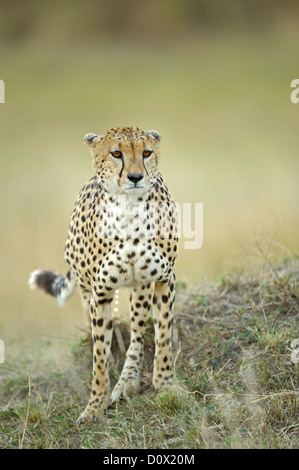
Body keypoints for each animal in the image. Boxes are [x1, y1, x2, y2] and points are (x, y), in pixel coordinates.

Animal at [28, 126, 178, 424]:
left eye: (146, 152)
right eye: (116, 154)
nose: (135, 177)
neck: (129, 211)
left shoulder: (163, 280)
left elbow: (163, 337)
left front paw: (166, 385)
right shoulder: (101, 293)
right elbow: (99, 355)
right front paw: (94, 406)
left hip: (140, 289)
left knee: (137, 333)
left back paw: (127, 381)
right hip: (88, 290)